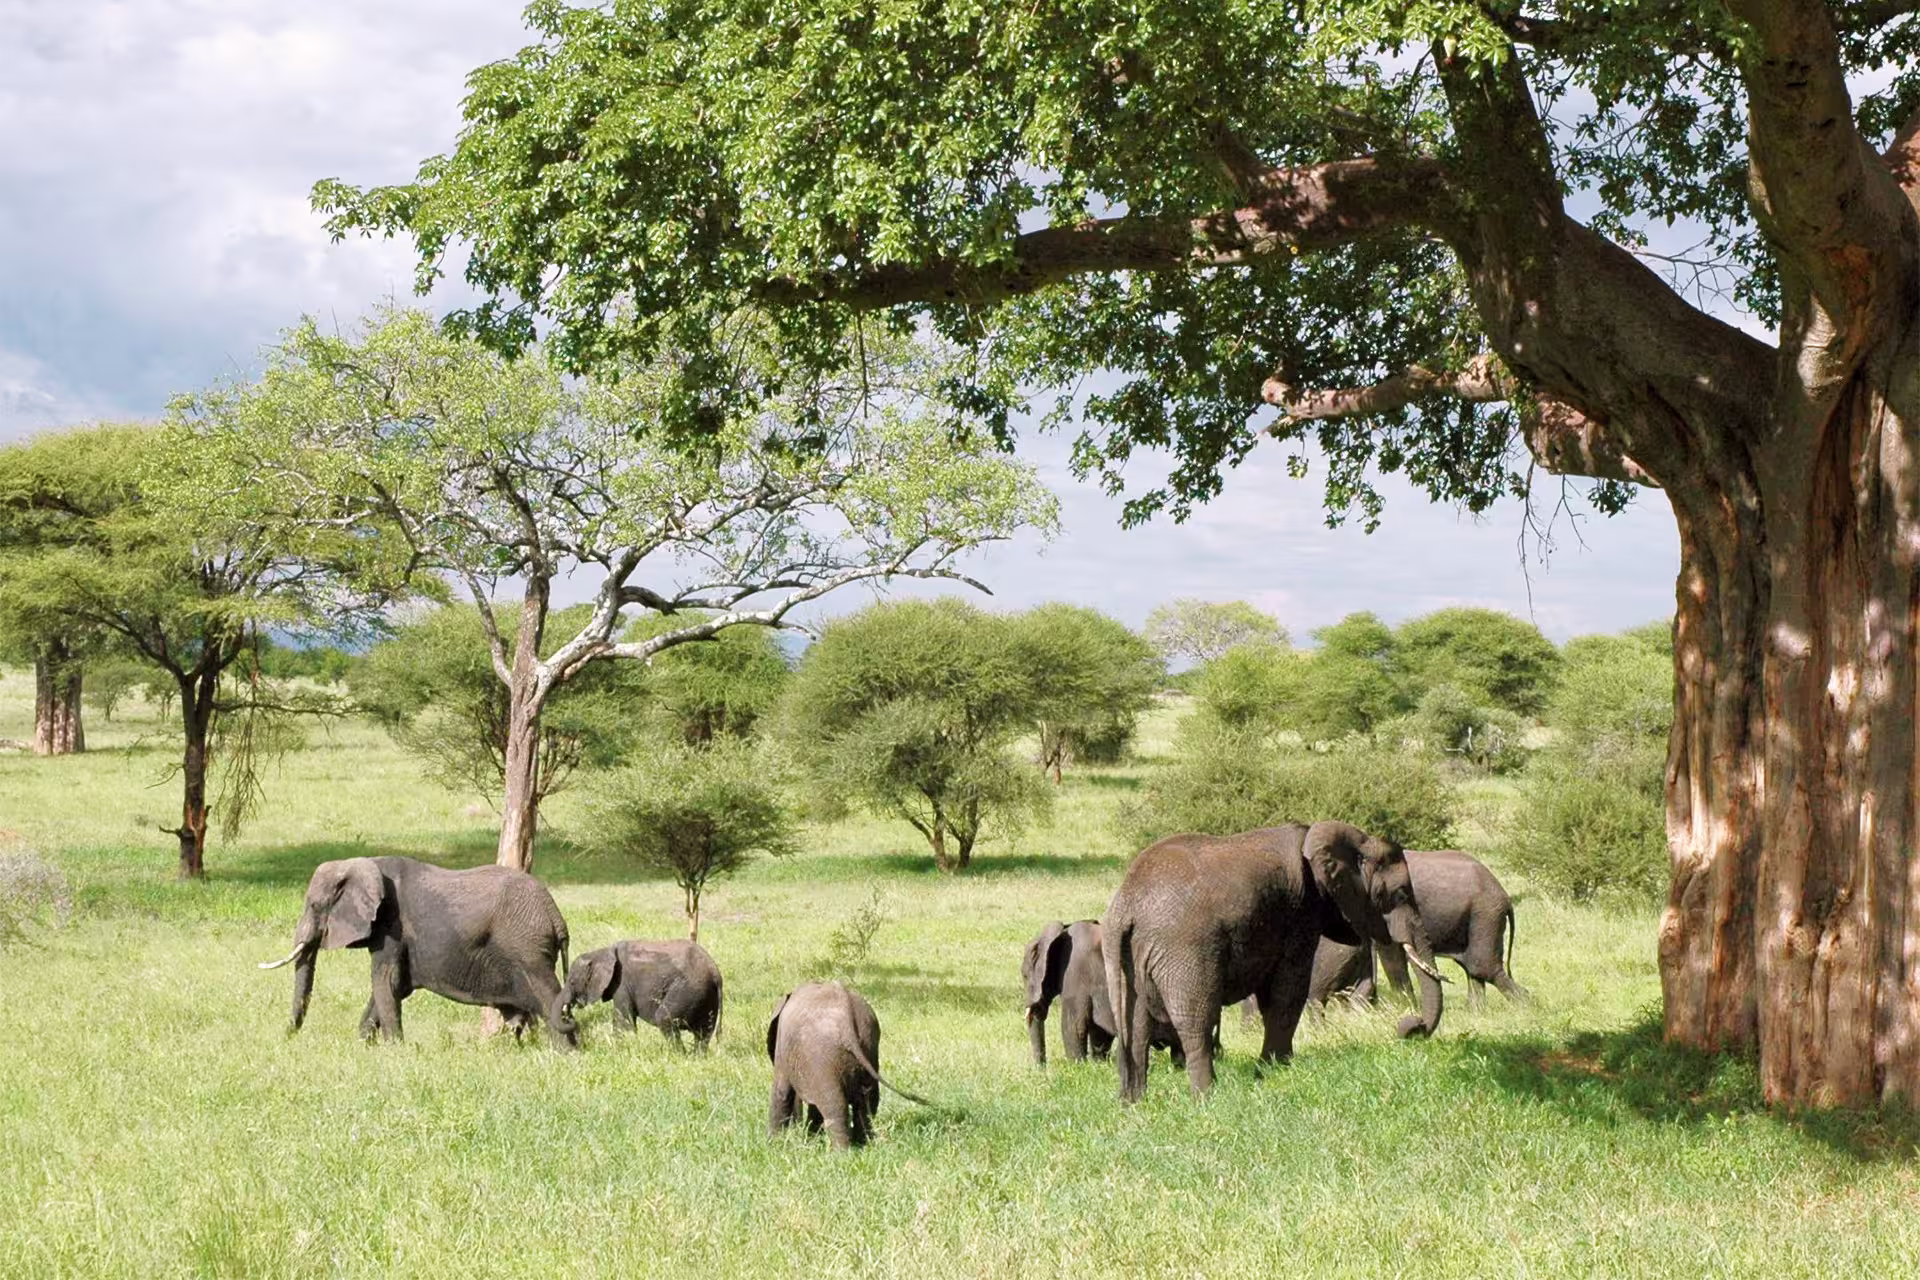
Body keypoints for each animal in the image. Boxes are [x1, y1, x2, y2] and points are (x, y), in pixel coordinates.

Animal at [259, 855, 577, 1049]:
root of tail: (556, 917)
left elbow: (385, 982)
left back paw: (567, 1052)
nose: (286, 1039)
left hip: (527, 950)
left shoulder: (391, 927)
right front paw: (365, 1046)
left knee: (548, 997)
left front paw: (393, 1050)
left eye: (314, 906)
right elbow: (392, 987)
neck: (363, 863)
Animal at [559, 939, 724, 1048]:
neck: (601, 952)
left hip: (688, 989)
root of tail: (715, 972)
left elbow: (623, 1021)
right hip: (706, 995)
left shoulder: (622, 984)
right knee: (704, 1032)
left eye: (572, 982)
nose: (568, 1016)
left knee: (664, 1019)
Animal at [766, 982, 931, 1150]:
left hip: (824, 1057)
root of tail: (847, 1020)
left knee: (835, 1105)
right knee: (868, 1101)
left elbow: (781, 1092)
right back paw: (864, 1144)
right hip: (868, 1046)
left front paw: (773, 1143)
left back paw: (842, 1152)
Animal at [1104, 820, 1444, 1101]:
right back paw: (1207, 1097)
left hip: (1126, 957)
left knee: (1136, 1027)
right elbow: (1288, 990)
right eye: (1400, 895)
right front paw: (1275, 1070)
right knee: (1196, 1019)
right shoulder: (1300, 913)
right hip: (1185, 950)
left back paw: (1133, 1102)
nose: (1410, 1028)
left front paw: (1275, 1068)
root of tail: (1126, 906)